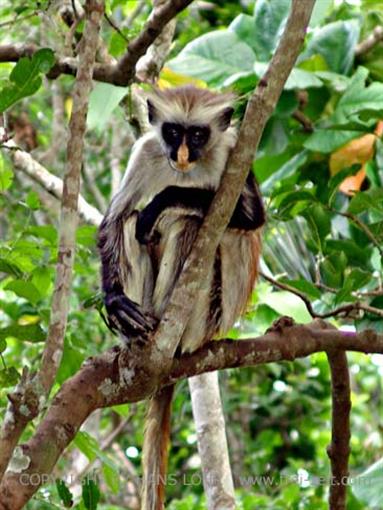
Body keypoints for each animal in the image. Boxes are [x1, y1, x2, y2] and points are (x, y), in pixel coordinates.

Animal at [97, 84, 266, 510]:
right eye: (173, 133)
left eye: (199, 135)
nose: (183, 155)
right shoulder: (147, 149)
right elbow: (114, 219)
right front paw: (114, 301)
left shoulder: (233, 149)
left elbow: (251, 217)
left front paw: (163, 200)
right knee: (131, 222)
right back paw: (137, 335)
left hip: (206, 313)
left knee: (187, 222)